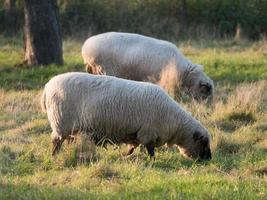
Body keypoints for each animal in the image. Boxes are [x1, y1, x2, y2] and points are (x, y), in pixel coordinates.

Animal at [40, 72, 213, 161]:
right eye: (203, 142)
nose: (209, 159)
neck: (176, 123)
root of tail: (47, 87)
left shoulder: (137, 134)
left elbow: (131, 148)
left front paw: (123, 156)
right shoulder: (148, 133)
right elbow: (150, 150)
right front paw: (152, 161)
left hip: (68, 126)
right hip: (61, 121)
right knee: (56, 141)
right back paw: (54, 156)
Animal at [82, 32, 215, 102]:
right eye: (207, 90)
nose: (207, 108)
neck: (186, 73)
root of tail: (86, 48)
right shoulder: (165, 80)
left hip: (94, 71)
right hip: (104, 69)